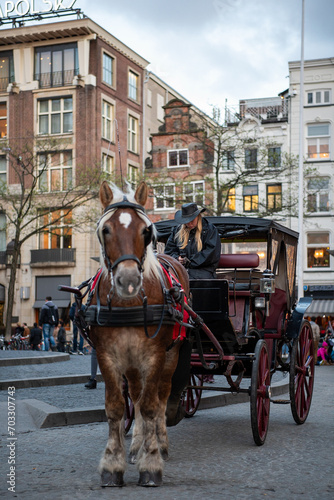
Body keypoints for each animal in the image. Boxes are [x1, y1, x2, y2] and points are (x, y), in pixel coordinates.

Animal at [88, 181, 189, 488]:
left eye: (146, 231)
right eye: (106, 230)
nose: (129, 280)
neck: (128, 304)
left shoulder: (155, 355)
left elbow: (150, 406)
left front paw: (152, 463)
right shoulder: (107, 355)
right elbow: (116, 407)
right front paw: (113, 464)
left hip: (171, 354)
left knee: (160, 395)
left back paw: (160, 444)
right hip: (131, 361)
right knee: (136, 392)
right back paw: (136, 446)